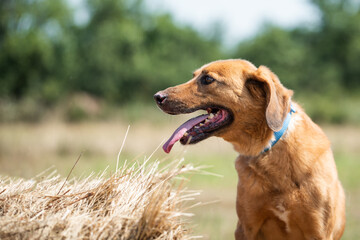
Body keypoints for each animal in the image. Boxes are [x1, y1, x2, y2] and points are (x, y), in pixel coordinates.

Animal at [154, 59, 346, 239]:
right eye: (193, 76)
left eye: (208, 79)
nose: (157, 96)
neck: (267, 148)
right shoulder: (246, 227)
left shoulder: (318, 231)